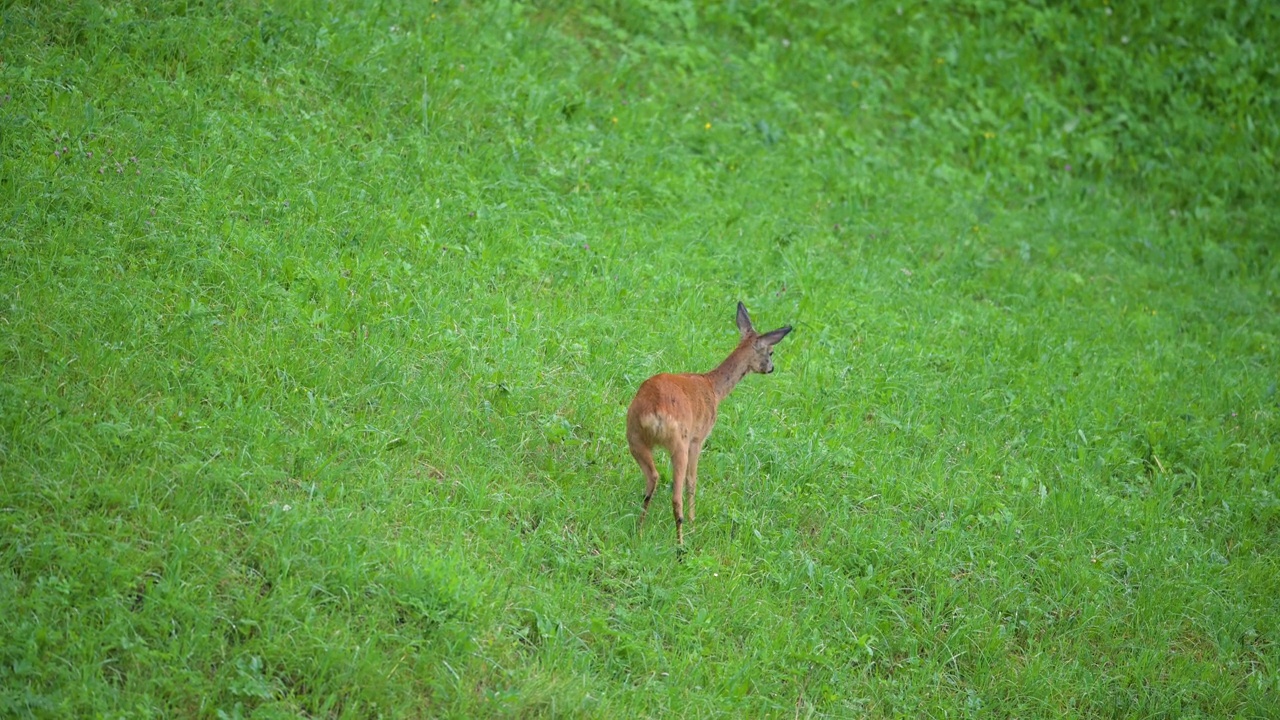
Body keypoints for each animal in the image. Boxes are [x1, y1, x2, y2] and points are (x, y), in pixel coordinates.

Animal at [622, 299, 788, 545]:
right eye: (771, 351)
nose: (771, 368)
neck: (713, 387)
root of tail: (653, 410)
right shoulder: (698, 438)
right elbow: (693, 481)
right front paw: (693, 522)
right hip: (679, 442)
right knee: (676, 493)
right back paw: (681, 543)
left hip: (633, 436)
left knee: (652, 478)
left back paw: (640, 529)